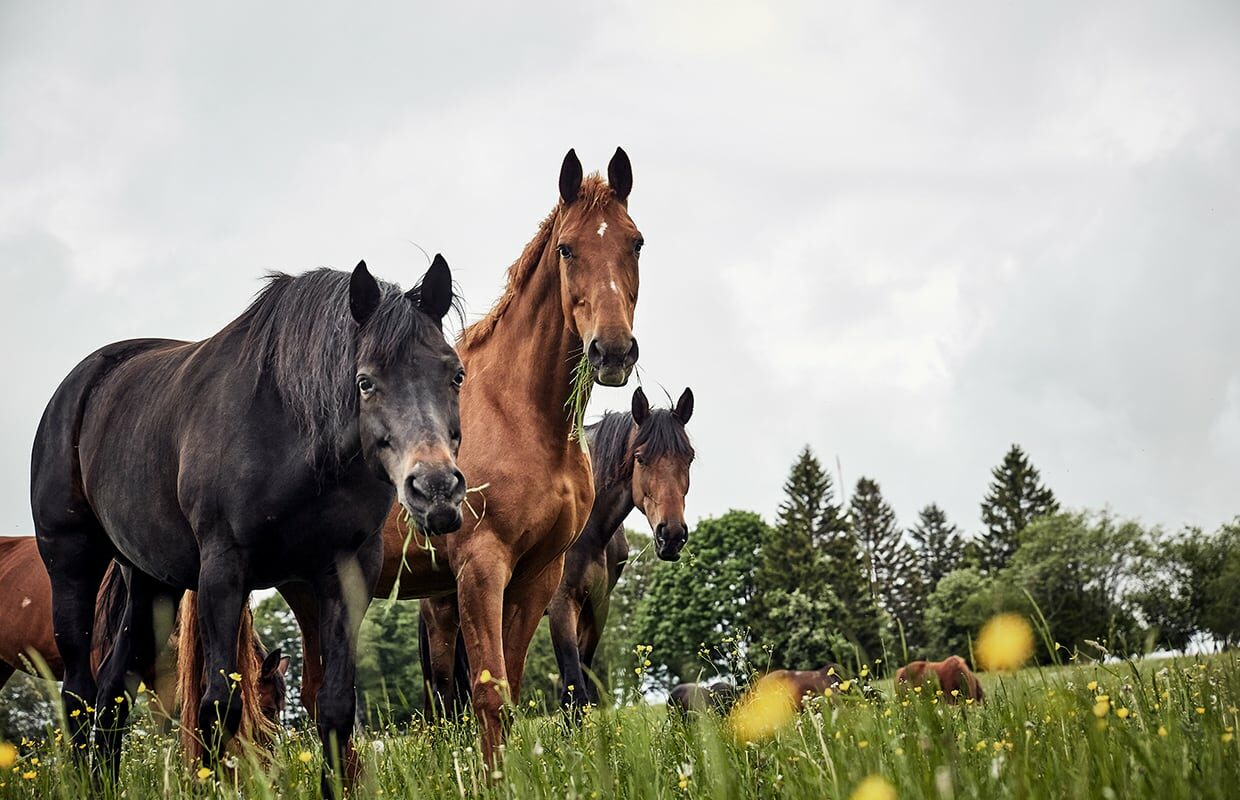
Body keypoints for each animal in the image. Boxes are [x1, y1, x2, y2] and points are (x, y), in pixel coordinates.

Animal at [30, 255, 466, 783]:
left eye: (456, 375)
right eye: (365, 382)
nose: (436, 490)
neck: (288, 432)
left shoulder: (347, 571)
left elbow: (335, 708)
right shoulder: (224, 570)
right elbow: (219, 706)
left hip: (151, 583)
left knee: (112, 692)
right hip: (70, 563)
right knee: (78, 692)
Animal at [285, 146, 644, 759]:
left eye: (636, 242)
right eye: (568, 248)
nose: (613, 351)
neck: (521, 414)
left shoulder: (536, 577)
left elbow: (510, 691)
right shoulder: (481, 568)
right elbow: (488, 695)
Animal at [545, 384, 694, 704]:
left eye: (688, 458)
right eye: (640, 458)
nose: (672, 535)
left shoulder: (597, 606)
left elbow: (581, 680)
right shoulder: (562, 602)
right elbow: (573, 687)